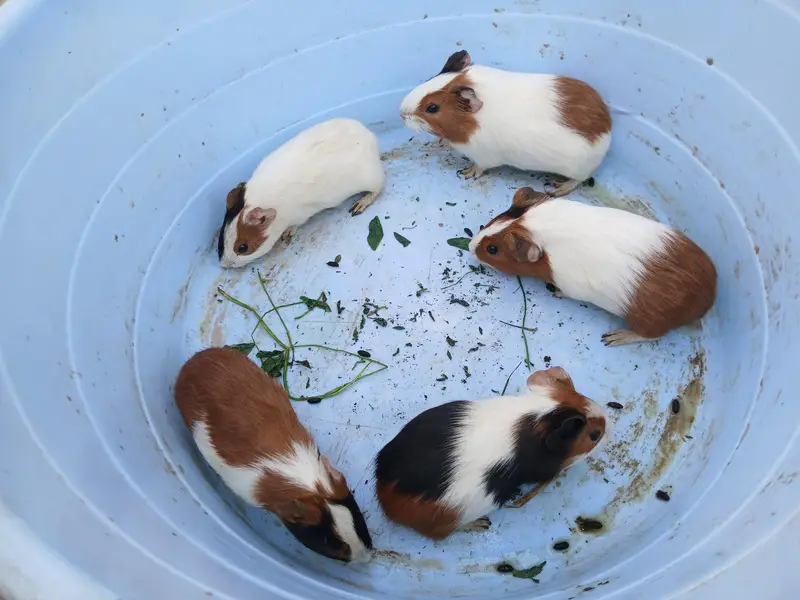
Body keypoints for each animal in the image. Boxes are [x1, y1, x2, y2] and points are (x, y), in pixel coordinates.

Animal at [218, 118, 385, 269]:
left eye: (243, 247)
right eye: (221, 238)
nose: (224, 265)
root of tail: (371, 137)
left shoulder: (299, 217)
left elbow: (294, 226)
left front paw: (286, 235)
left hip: (371, 181)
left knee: (378, 188)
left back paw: (357, 207)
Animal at [399, 50, 611, 196]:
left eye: (432, 108)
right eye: (429, 79)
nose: (401, 113)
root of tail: (607, 130)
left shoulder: (484, 157)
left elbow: (479, 167)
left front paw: (468, 173)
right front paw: (440, 142)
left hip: (577, 169)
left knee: (578, 180)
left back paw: (557, 189)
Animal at [470, 187, 717, 346]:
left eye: (492, 249)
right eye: (494, 220)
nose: (472, 246)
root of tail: (708, 298)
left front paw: (556, 293)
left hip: (647, 322)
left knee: (651, 336)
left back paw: (613, 338)